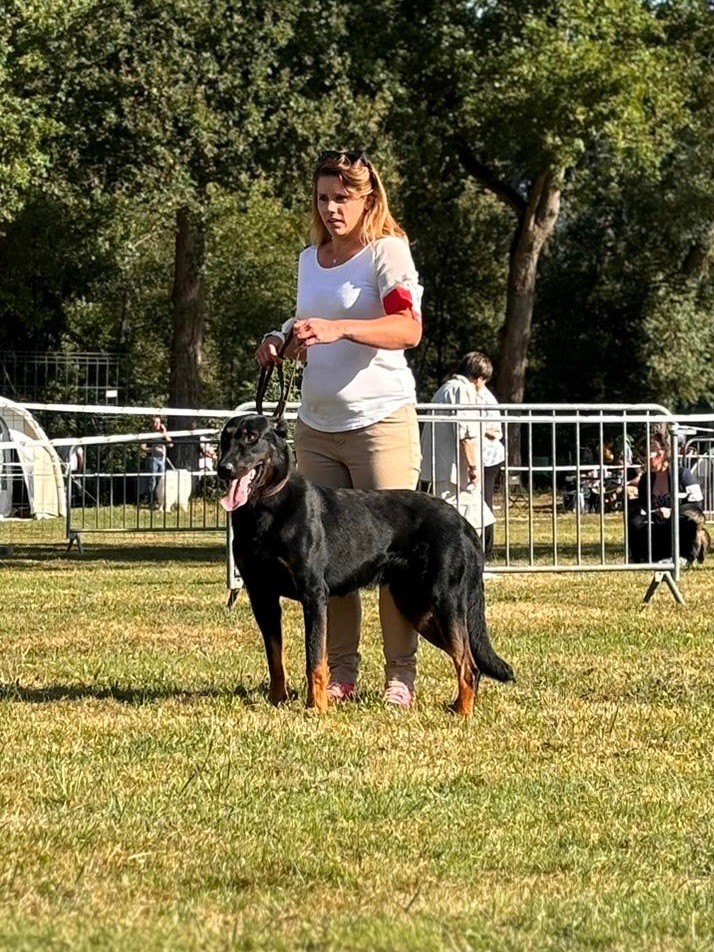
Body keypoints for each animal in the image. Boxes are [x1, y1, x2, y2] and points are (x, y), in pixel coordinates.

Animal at [217, 412, 512, 712]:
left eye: (251, 438)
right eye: (224, 439)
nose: (223, 469)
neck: (266, 508)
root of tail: (463, 522)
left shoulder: (313, 596)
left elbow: (315, 659)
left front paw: (317, 709)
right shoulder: (262, 596)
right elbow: (275, 659)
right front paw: (278, 701)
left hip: (445, 601)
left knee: (468, 664)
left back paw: (463, 713)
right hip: (417, 608)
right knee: (469, 662)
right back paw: (457, 706)